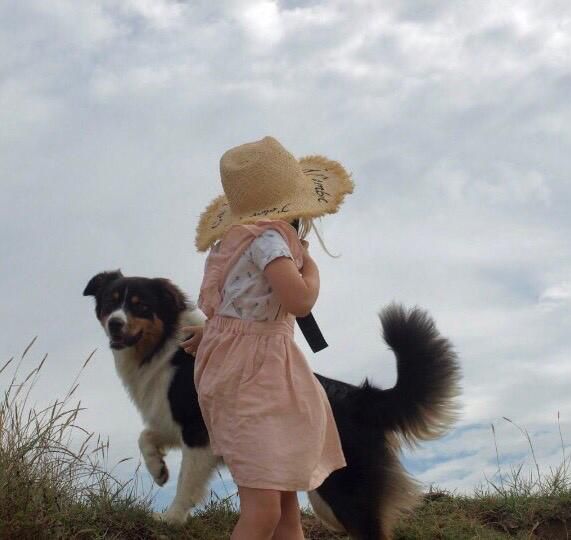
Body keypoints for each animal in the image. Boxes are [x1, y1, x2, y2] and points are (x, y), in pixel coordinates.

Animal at [84, 270, 460, 540]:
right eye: (109, 302)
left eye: (140, 305)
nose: (115, 324)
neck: (164, 346)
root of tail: (360, 396)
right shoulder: (171, 420)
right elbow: (146, 436)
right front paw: (158, 469)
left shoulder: (198, 431)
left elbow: (187, 482)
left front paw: (172, 518)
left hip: (345, 490)